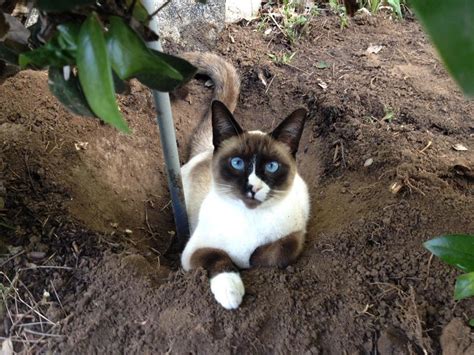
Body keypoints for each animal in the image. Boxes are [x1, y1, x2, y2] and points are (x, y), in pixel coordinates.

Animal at [180, 51, 310, 310]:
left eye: (271, 166)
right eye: (237, 163)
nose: (252, 187)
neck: (249, 219)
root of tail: (206, 151)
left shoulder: (295, 236)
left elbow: (271, 254)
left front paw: (248, 261)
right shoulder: (192, 254)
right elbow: (219, 257)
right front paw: (231, 292)